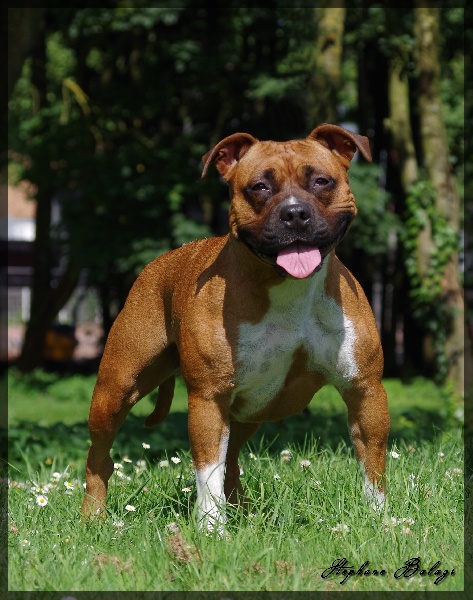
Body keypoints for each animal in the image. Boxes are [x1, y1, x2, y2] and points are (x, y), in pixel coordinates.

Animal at [81, 124, 390, 531]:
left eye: (322, 181)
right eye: (259, 187)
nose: (294, 213)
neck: (289, 287)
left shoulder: (364, 389)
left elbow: (373, 462)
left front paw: (381, 519)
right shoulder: (210, 397)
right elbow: (207, 470)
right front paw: (212, 530)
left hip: (249, 410)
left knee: (231, 462)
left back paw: (242, 510)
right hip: (116, 390)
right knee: (100, 456)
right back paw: (93, 516)